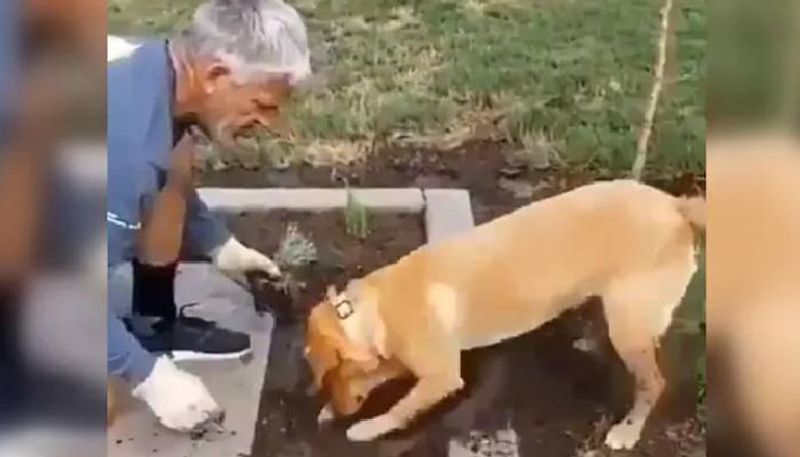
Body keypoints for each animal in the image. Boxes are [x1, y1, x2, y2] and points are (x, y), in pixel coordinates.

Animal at [304, 179, 704, 448]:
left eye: (331, 373)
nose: (338, 411)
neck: (374, 309)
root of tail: (676, 204)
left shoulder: (441, 376)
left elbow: (400, 408)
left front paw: (367, 427)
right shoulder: (398, 360)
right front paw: (331, 410)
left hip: (629, 325)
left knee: (654, 383)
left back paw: (628, 431)